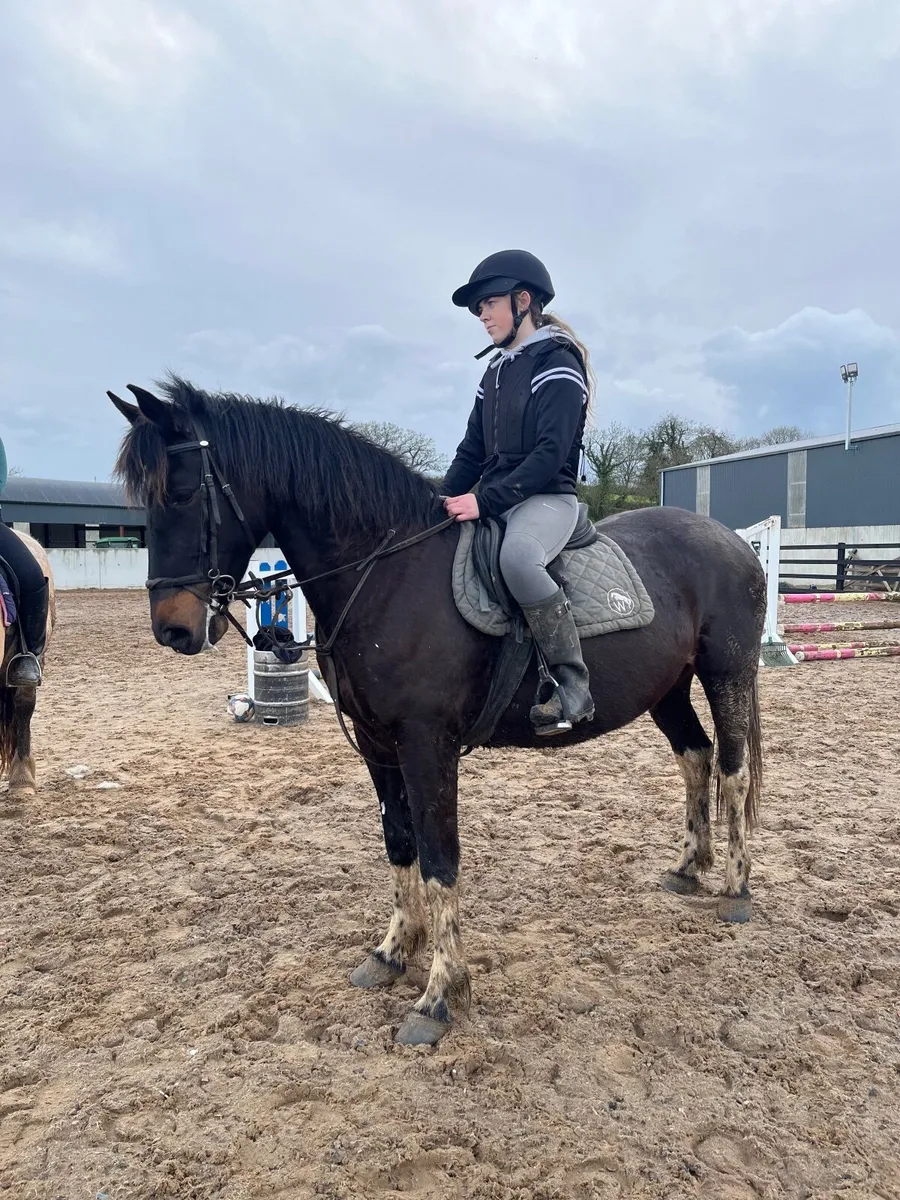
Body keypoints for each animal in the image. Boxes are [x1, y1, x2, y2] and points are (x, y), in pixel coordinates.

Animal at [109, 376, 766, 1046]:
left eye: (183, 491)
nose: (172, 629)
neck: (387, 574)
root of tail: (732, 540)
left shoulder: (427, 744)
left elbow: (439, 856)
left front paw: (440, 996)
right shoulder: (378, 744)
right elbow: (400, 843)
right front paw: (392, 952)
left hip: (727, 672)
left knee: (733, 769)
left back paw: (735, 888)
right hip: (667, 689)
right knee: (696, 757)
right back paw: (689, 867)